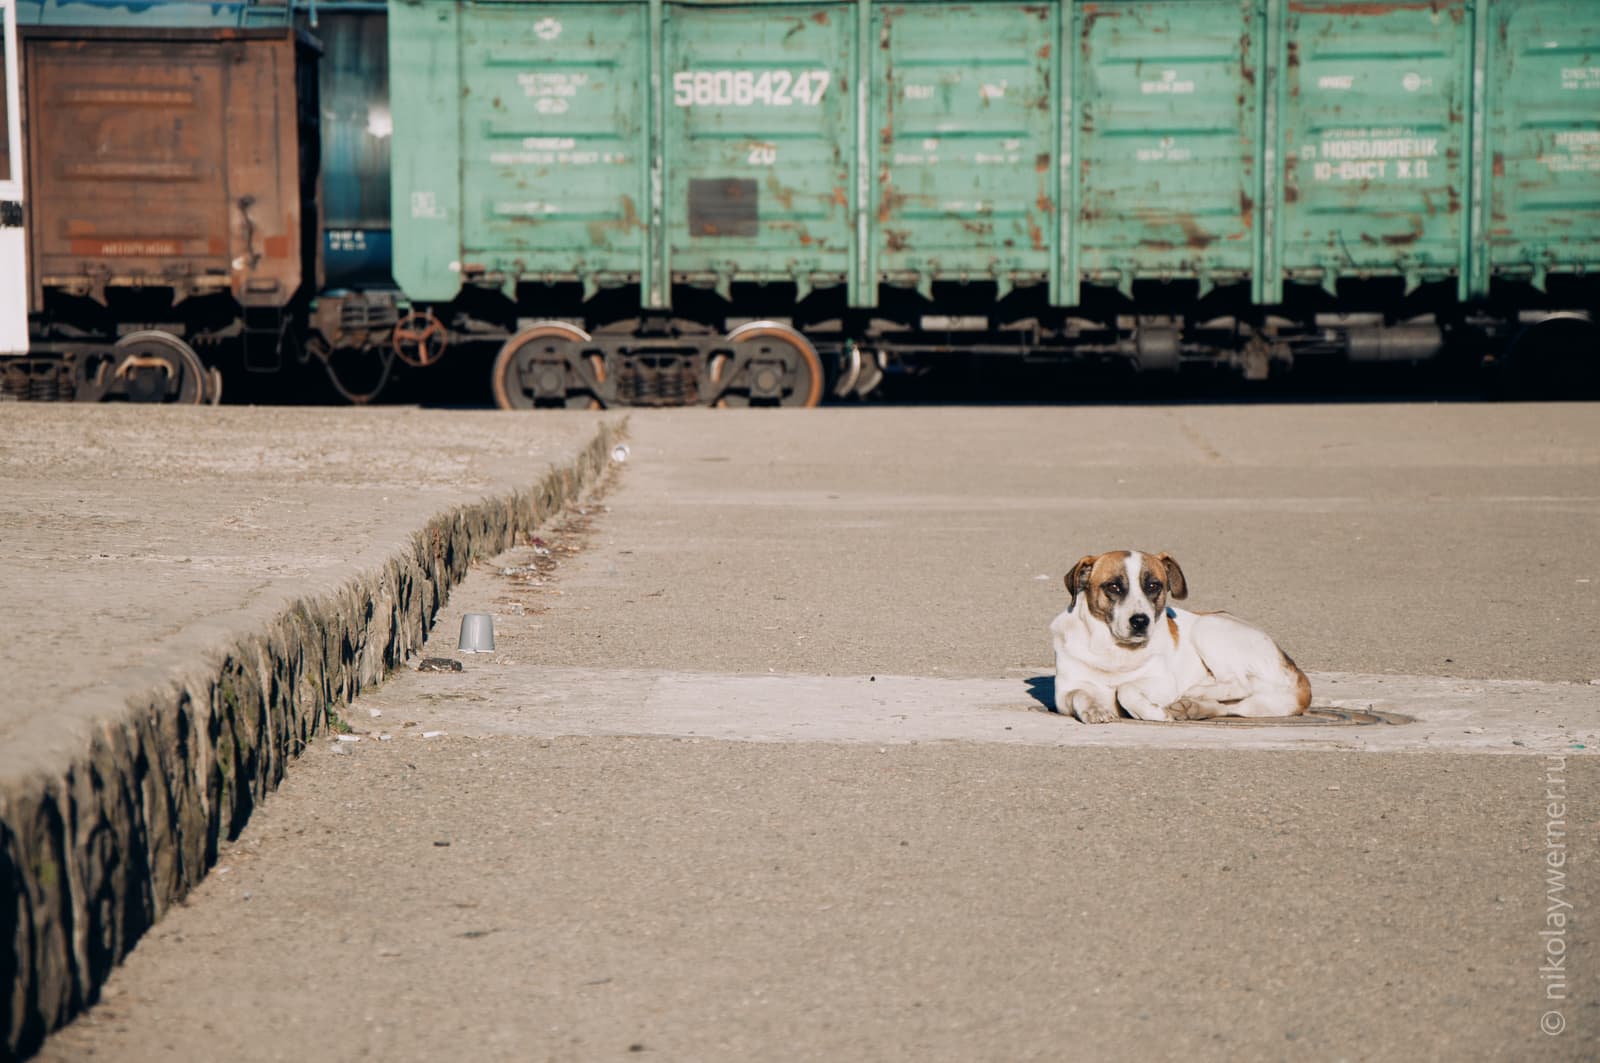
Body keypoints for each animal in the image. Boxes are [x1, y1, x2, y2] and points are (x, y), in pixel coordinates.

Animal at [1049, 547, 1312, 723]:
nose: (1140, 621)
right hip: (1260, 704)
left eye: (1153, 586)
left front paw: (1152, 712)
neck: (1114, 651)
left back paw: (1194, 692)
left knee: (1241, 683)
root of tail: (1296, 671)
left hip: (1208, 628)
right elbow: (1078, 693)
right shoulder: (1063, 694)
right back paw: (1193, 707)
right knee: (1233, 704)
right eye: (1113, 586)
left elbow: (1126, 689)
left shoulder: (1162, 683)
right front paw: (1095, 710)